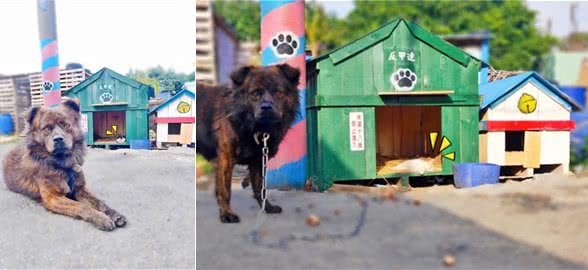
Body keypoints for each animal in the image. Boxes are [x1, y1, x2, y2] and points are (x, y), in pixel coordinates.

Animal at [2, 100, 126, 231]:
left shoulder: (79, 188)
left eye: (65, 125)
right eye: (46, 128)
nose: (58, 139)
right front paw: (101, 218)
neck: (62, 164)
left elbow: (99, 202)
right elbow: (81, 206)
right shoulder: (53, 197)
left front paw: (114, 214)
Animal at [196, 63, 298, 224]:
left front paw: (267, 207)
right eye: (255, 93)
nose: (266, 107)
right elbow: (225, 190)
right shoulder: (225, 158)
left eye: (278, 92)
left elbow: (260, 188)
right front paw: (227, 214)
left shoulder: (258, 160)